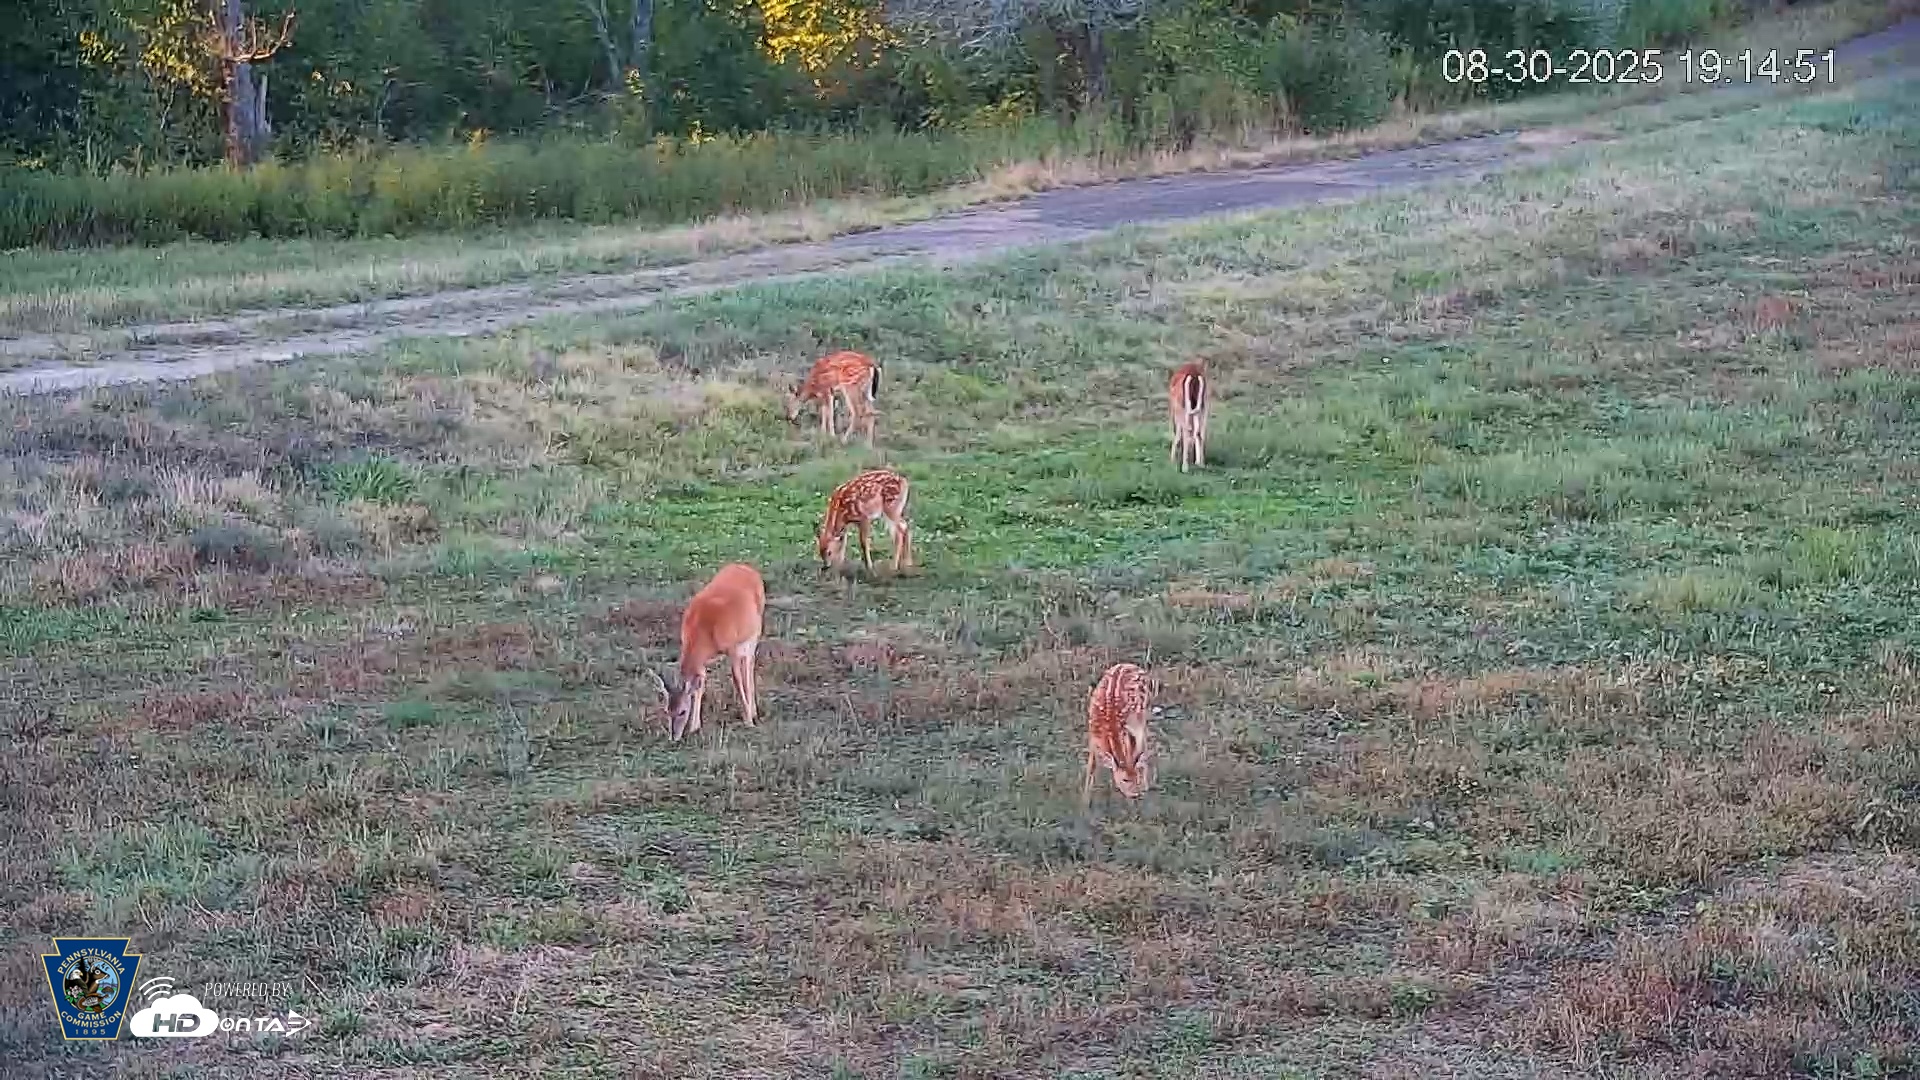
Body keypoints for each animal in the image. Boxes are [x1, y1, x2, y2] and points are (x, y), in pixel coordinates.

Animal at [645, 563, 765, 741]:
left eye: (682, 712)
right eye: (667, 710)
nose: (673, 737)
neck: (703, 633)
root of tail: (747, 567)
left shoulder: (732, 649)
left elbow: (737, 681)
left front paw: (748, 721)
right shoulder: (701, 662)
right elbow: (700, 686)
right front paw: (695, 727)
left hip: (755, 629)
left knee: (750, 663)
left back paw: (754, 711)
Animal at [1084, 662, 1156, 808]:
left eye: (1136, 778)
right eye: (1124, 779)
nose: (1135, 795)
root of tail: (1129, 665)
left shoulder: (1133, 732)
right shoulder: (1092, 738)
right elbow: (1091, 766)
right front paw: (1085, 800)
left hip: (1145, 713)